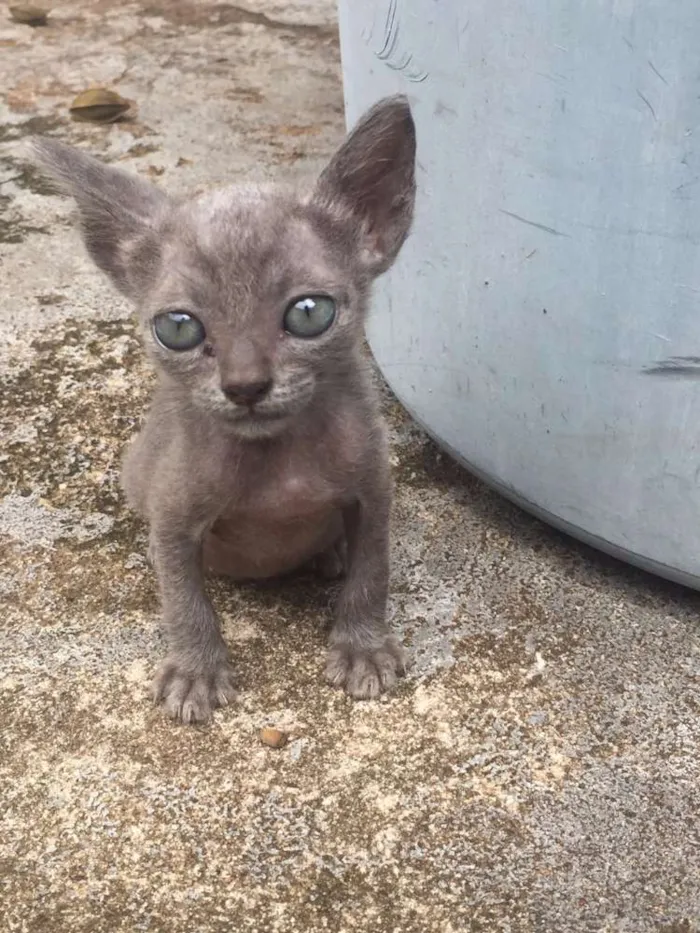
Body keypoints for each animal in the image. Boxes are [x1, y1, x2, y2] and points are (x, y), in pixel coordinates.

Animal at [30, 94, 416, 720]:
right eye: (179, 328)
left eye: (309, 313)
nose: (245, 385)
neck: (277, 464)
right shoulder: (172, 515)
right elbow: (184, 600)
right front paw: (196, 672)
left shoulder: (374, 492)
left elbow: (371, 572)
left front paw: (363, 648)